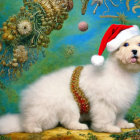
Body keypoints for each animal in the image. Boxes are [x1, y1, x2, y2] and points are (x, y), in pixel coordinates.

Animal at [0, 26, 140, 135]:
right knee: (51, 122)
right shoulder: (104, 103)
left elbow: (119, 116)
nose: (135, 51)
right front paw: (109, 128)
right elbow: (106, 118)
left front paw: (123, 124)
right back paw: (35, 129)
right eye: (125, 44)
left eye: (138, 44)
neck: (123, 72)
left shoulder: (121, 103)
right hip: (64, 107)